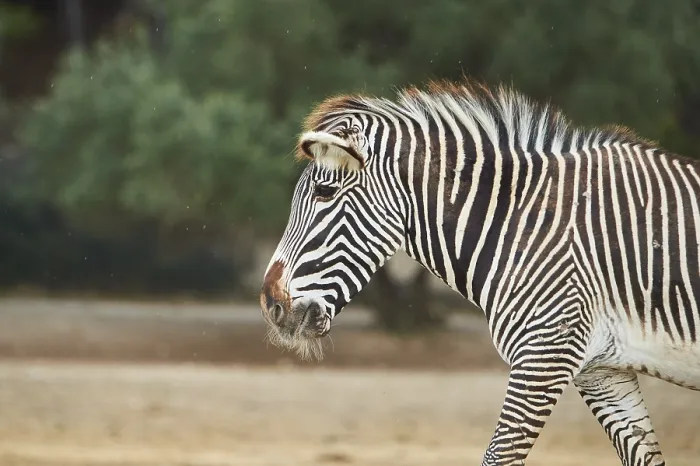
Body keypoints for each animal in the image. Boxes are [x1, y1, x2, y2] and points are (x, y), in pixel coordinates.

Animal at [259, 79, 700, 466]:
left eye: (324, 193)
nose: (270, 303)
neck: (522, 224)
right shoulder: (603, 371)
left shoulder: (543, 355)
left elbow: (497, 457)